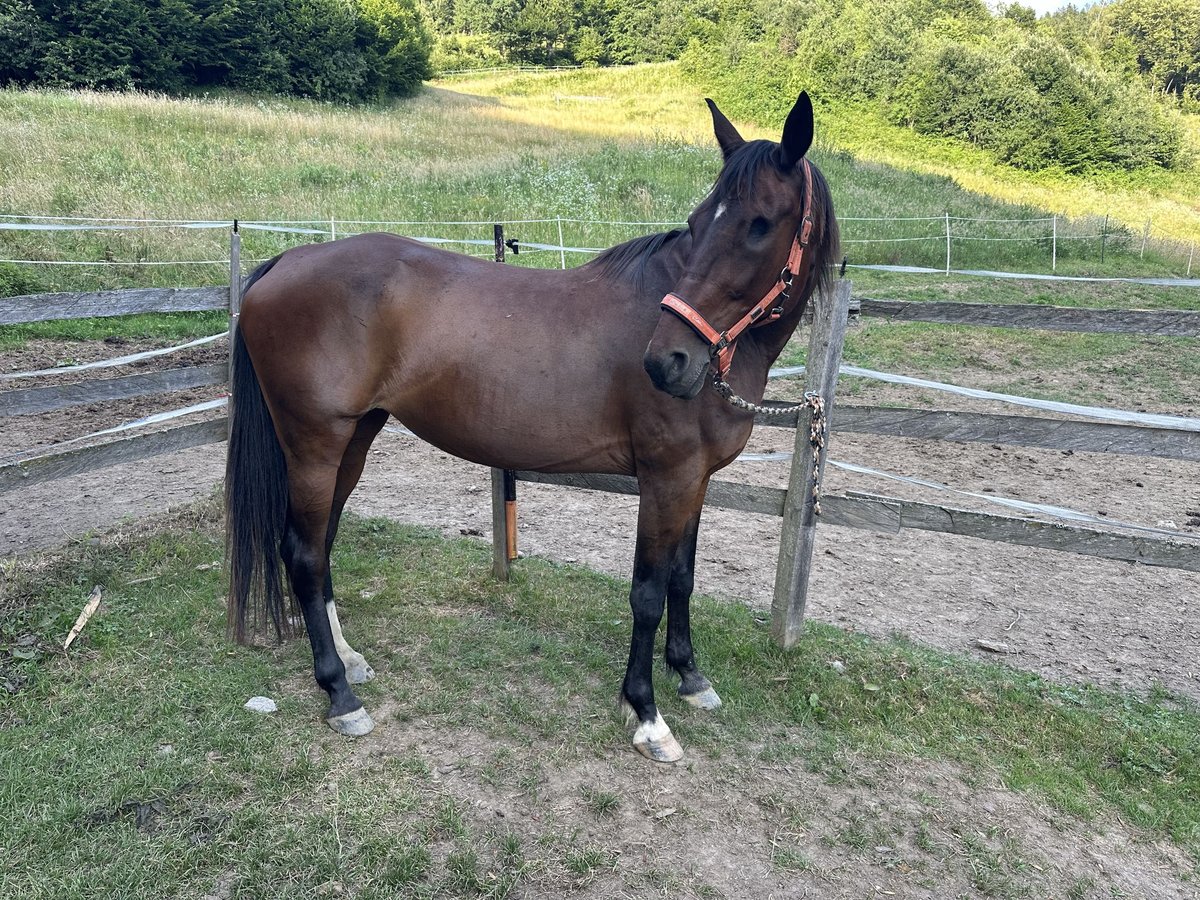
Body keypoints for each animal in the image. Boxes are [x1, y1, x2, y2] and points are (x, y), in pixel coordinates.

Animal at [229, 91, 840, 763]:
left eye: (759, 223)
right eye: (701, 219)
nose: (666, 362)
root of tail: (284, 261)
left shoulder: (695, 480)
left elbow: (682, 578)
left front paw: (690, 676)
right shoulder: (666, 479)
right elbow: (647, 593)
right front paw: (646, 713)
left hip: (354, 439)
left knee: (322, 546)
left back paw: (350, 660)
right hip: (315, 444)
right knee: (304, 552)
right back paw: (340, 693)